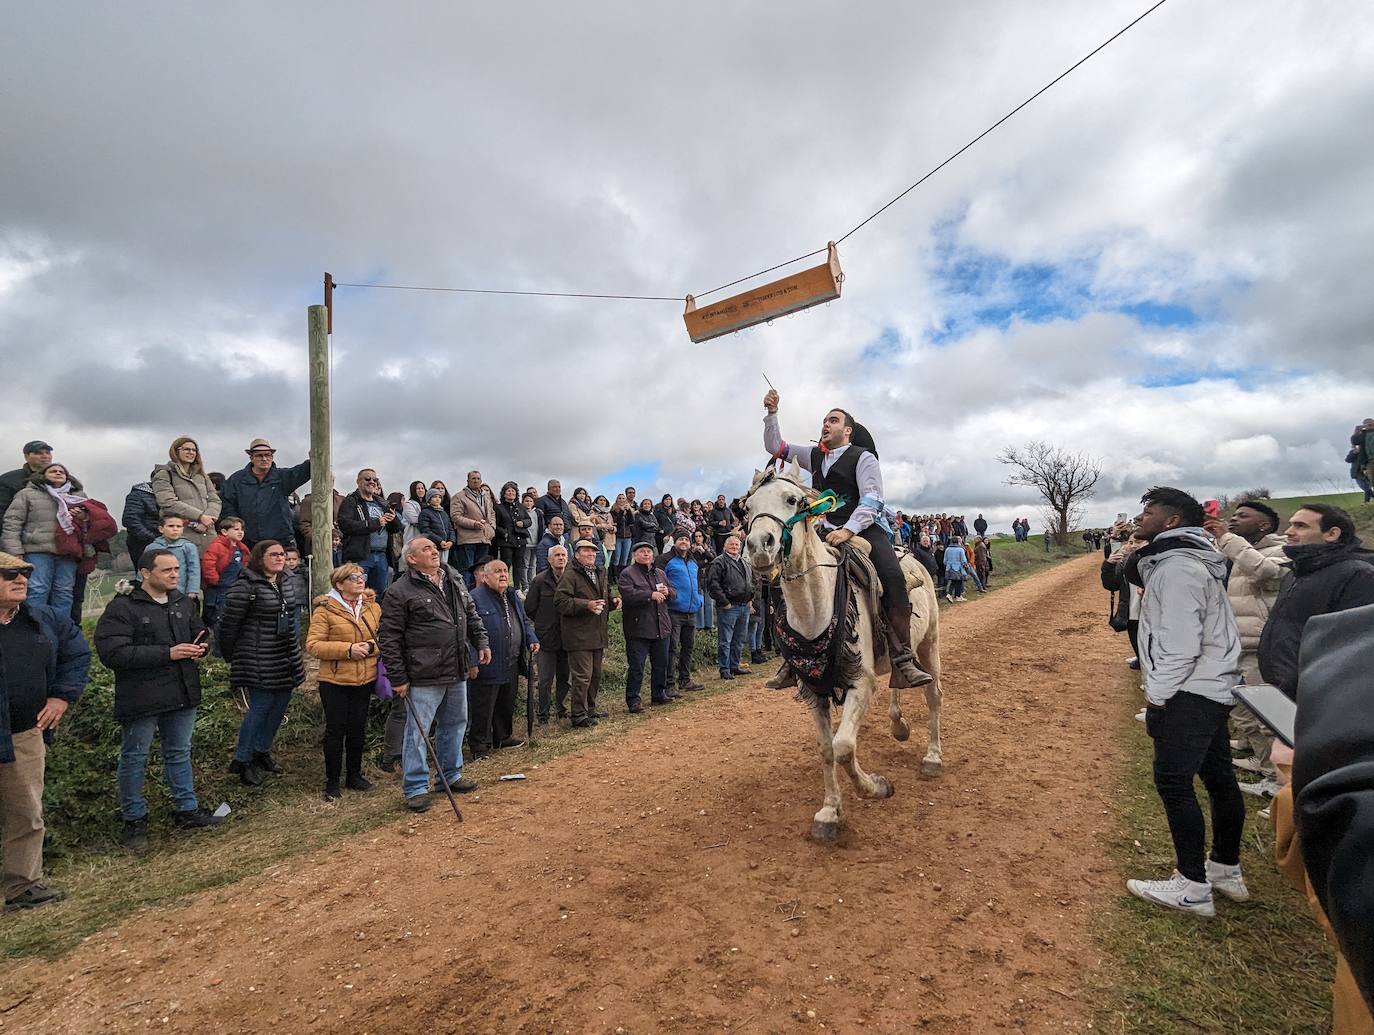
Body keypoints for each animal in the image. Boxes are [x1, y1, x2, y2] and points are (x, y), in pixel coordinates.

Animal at [741, 459, 945, 841]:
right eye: (747, 508)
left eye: (792, 499)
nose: (760, 546)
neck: (814, 607)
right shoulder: (813, 690)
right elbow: (825, 750)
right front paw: (829, 813)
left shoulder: (860, 682)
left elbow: (843, 747)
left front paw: (876, 787)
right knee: (898, 680)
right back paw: (899, 725)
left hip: (930, 643)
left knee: (933, 696)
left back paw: (933, 758)